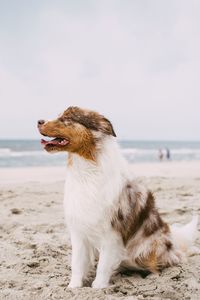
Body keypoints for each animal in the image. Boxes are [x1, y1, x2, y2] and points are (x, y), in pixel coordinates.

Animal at [37, 107, 198, 288]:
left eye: (66, 118)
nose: (39, 121)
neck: (86, 171)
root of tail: (172, 242)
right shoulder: (79, 228)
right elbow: (77, 263)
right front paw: (74, 287)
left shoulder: (111, 232)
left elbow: (103, 265)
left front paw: (98, 287)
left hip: (147, 249)